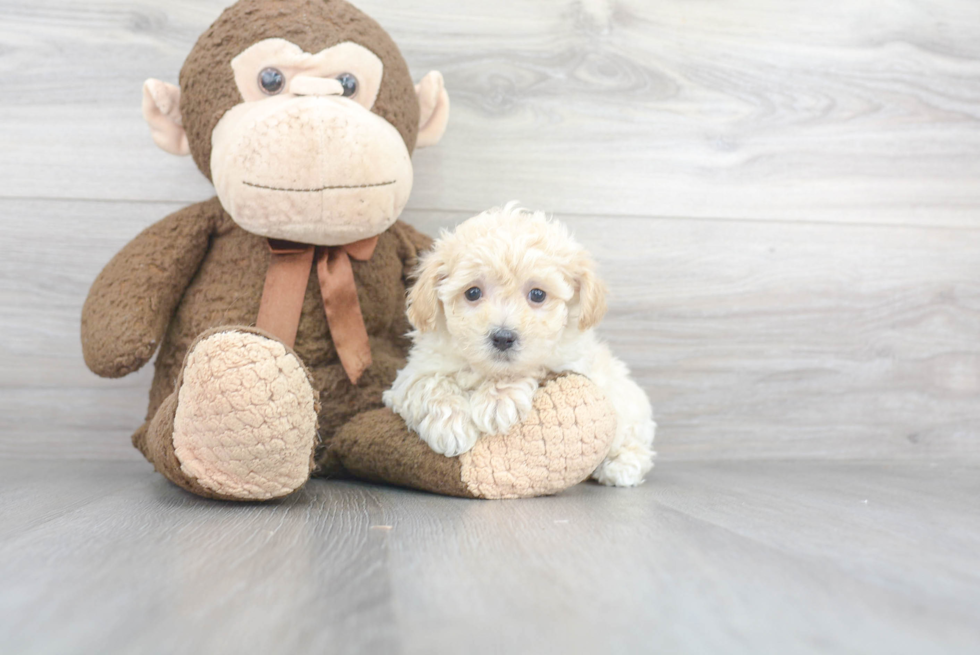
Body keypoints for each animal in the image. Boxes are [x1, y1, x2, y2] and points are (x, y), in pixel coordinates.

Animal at [382, 204, 660, 486]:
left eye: (537, 294)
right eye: (472, 292)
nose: (503, 337)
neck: (485, 370)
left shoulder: (570, 360)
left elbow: (530, 367)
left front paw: (497, 401)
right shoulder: (414, 372)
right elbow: (429, 384)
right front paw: (450, 425)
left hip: (630, 411)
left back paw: (622, 466)